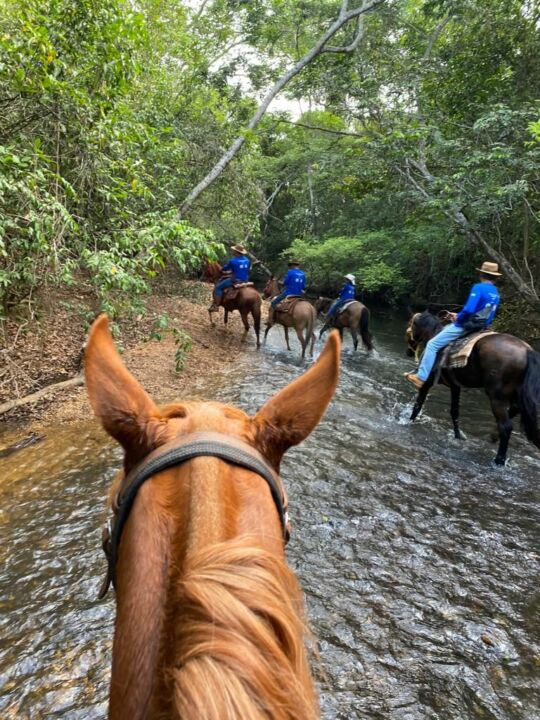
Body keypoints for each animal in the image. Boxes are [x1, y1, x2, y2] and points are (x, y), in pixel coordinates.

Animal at [404, 312, 540, 464]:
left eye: (410, 324)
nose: (409, 352)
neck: (434, 333)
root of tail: (527, 351)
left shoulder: (427, 382)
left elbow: (418, 405)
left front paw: (408, 422)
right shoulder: (455, 386)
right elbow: (454, 412)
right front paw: (458, 436)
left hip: (496, 397)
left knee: (506, 426)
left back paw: (499, 460)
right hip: (515, 396)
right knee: (514, 413)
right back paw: (493, 437)